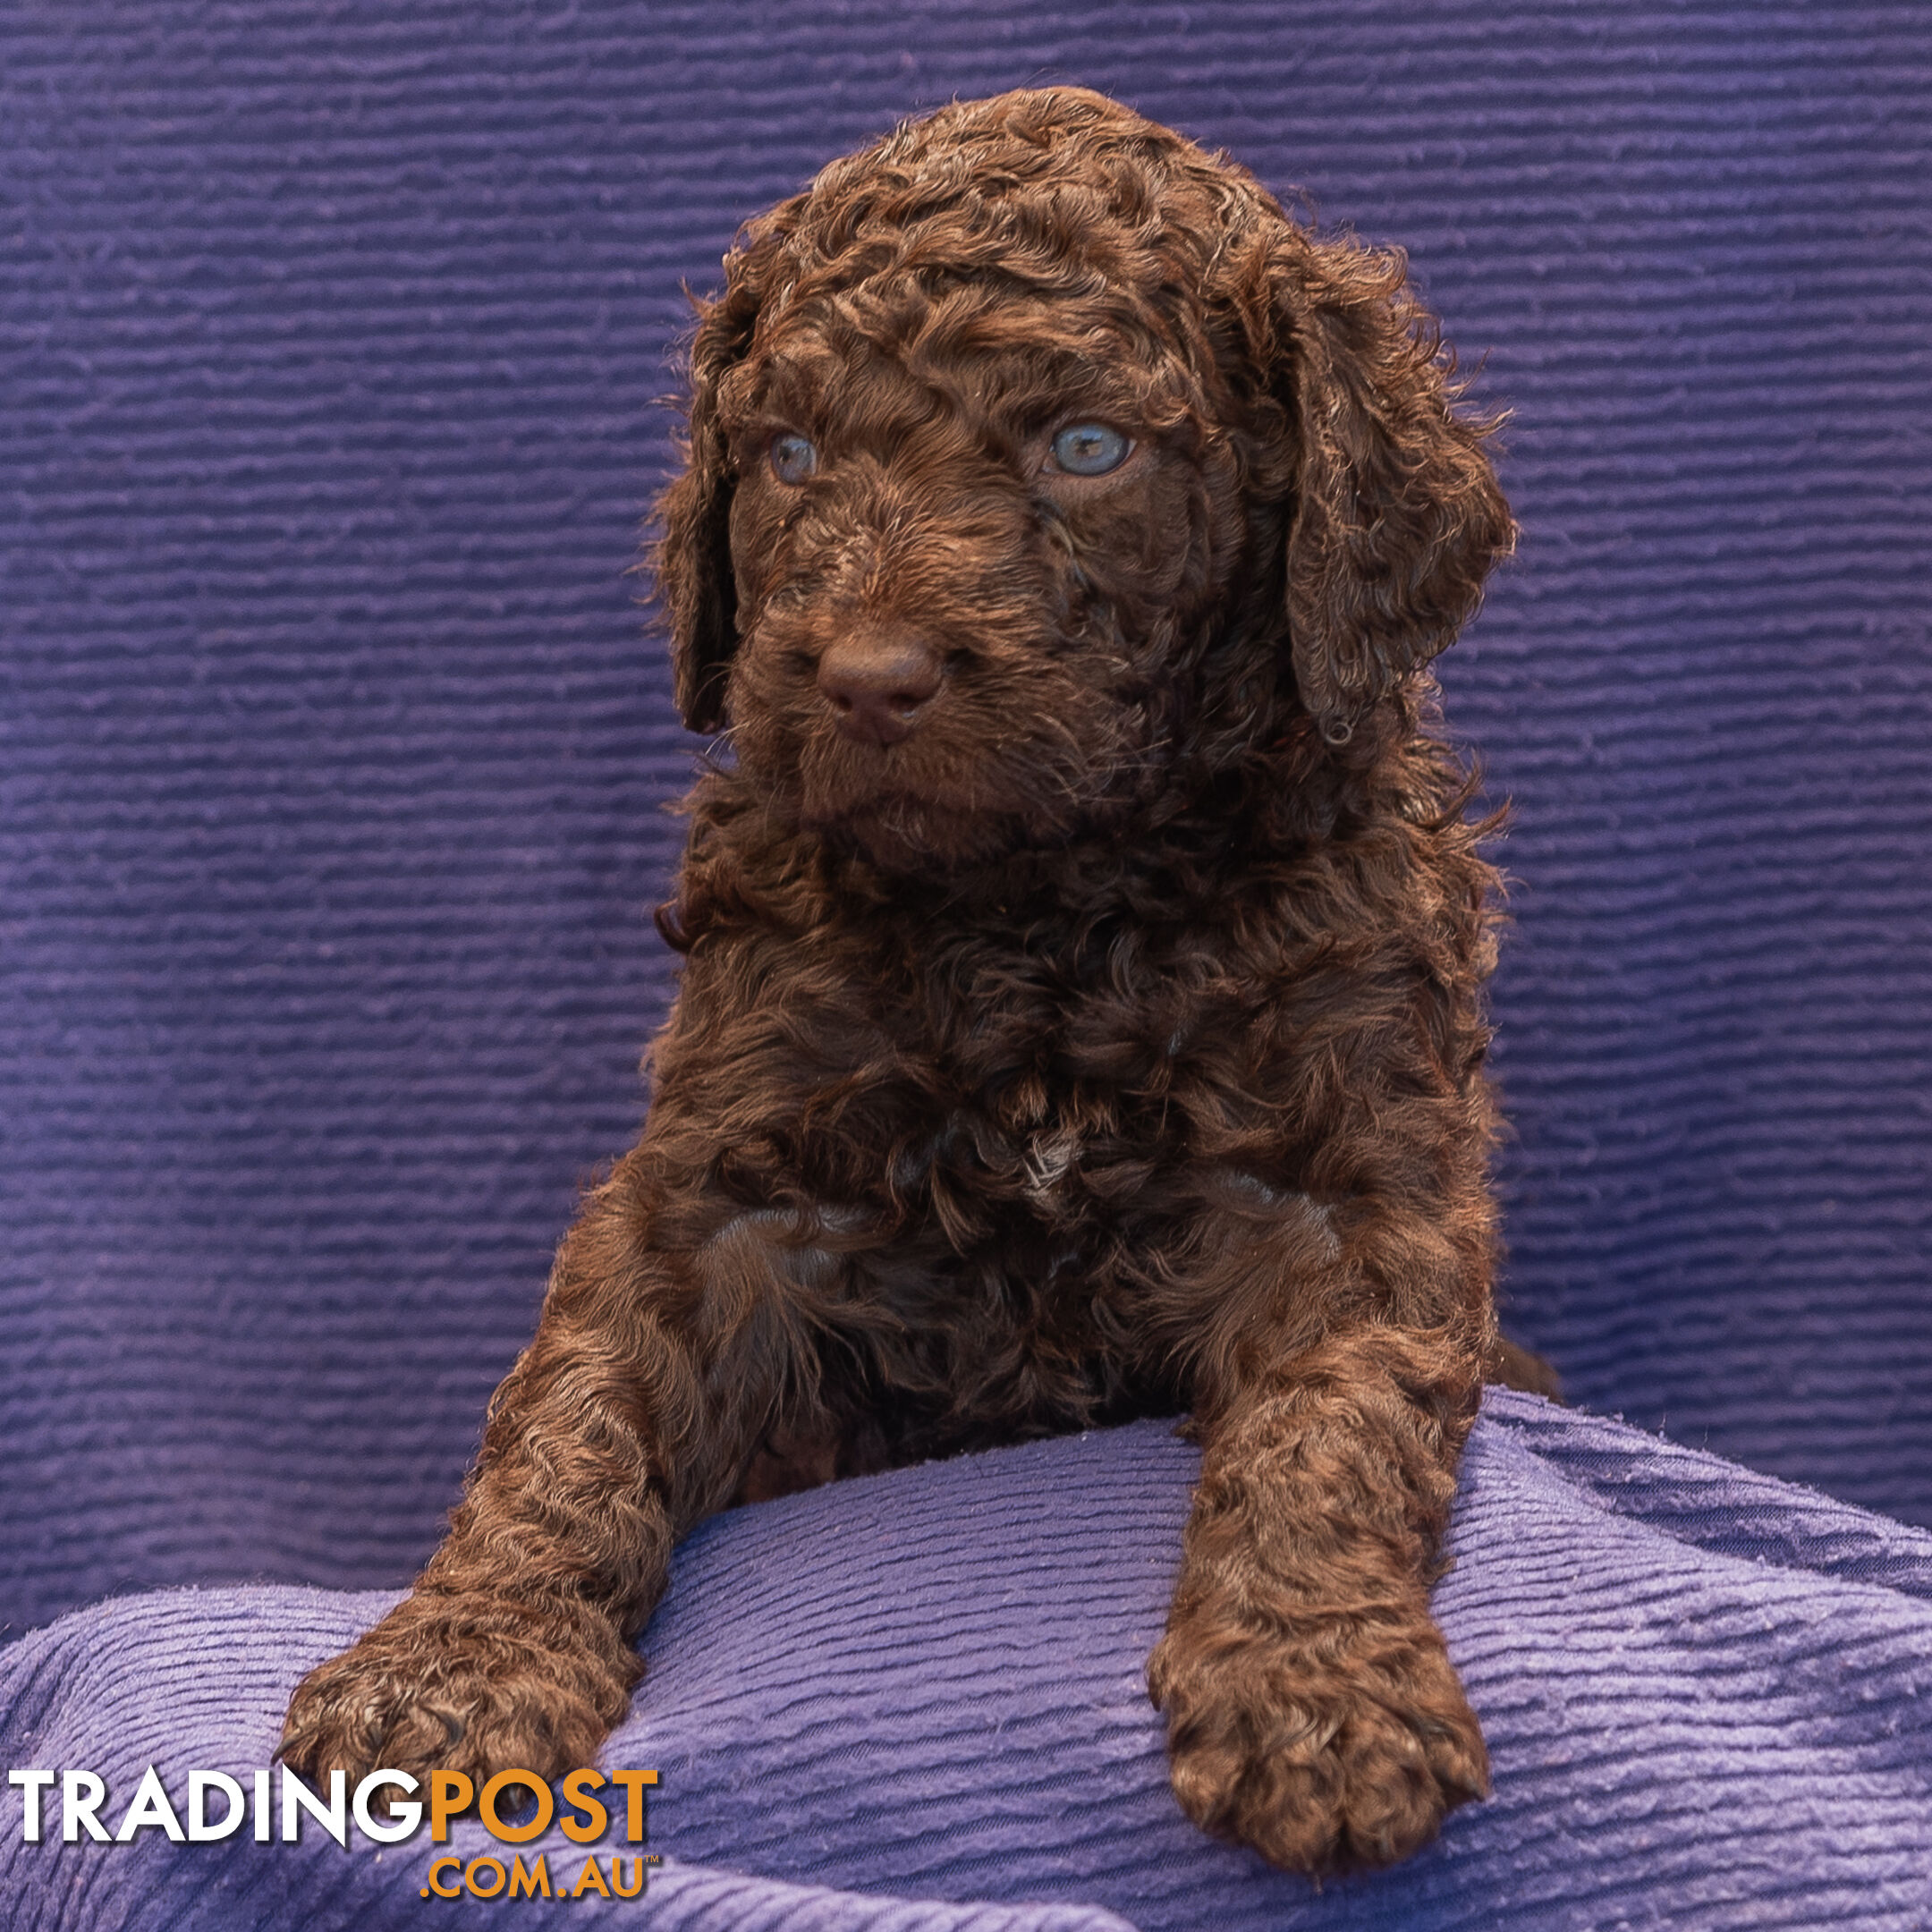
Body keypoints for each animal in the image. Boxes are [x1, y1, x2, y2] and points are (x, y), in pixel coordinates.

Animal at [282, 87, 1522, 1869]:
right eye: (789, 459)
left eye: (1088, 448)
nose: (866, 680)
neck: (1041, 913)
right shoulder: (717, 1189)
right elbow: (574, 1411)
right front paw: (447, 1665)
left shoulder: (1351, 1188)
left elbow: (1330, 1424)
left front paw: (1319, 1689)